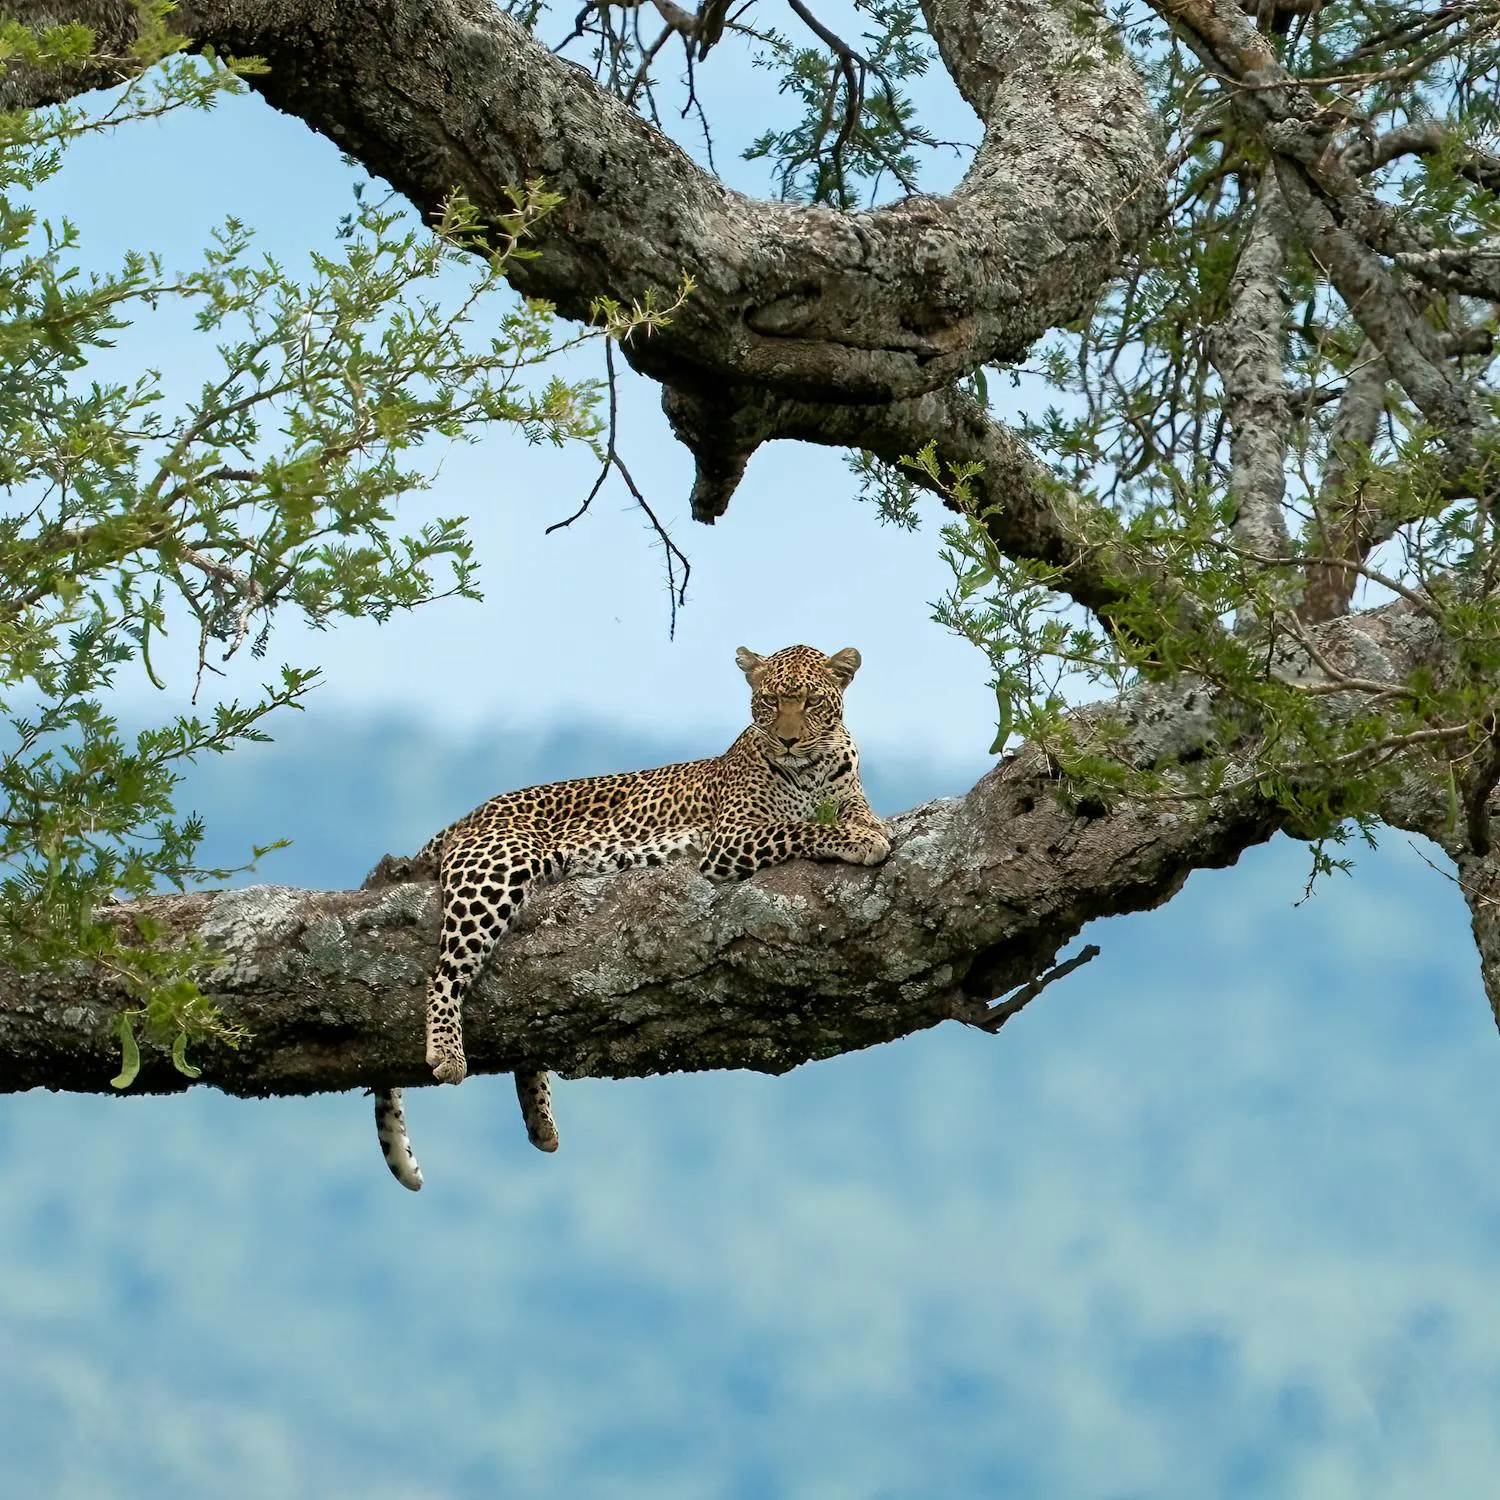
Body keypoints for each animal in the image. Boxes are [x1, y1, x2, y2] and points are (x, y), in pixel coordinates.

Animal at [370, 644, 891, 1190]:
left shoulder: (844, 797)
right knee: (445, 971)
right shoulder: (732, 838)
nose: (788, 741)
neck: (811, 769)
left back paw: (541, 1122)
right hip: (498, 867)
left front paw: (868, 828)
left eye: (811, 702)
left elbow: (854, 814)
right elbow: (802, 829)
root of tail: (469, 816)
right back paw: (447, 1053)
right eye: (770, 701)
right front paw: (860, 840)